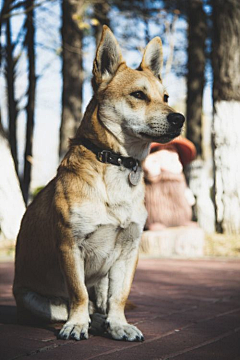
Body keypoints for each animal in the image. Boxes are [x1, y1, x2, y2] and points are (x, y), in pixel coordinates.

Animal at [13, 26, 185, 342]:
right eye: (138, 95)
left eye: (166, 96)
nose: (179, 118)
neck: (117, 163)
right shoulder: (70, 246)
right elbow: (78, 292)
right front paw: (77, 324)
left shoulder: (129, 252)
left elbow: (119, 296)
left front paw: (118, 324)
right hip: (33, 300)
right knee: (71, 307)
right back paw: (86, 321)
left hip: (104, 278)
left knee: (102, 303)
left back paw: (105, 320)